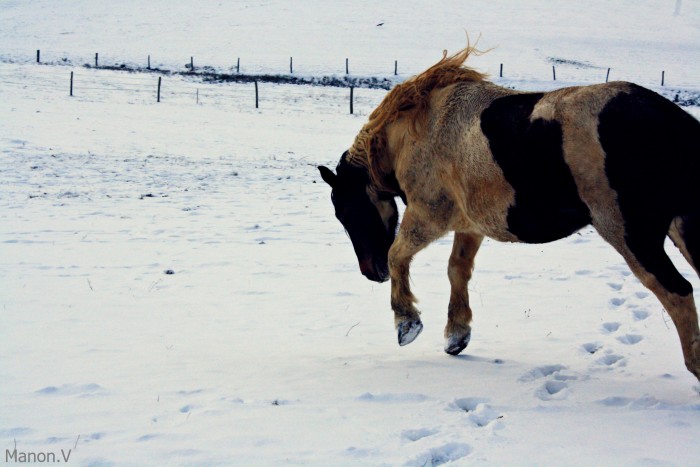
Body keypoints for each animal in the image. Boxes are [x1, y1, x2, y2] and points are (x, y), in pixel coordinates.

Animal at [318, 45, 700, 382]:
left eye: (346, 211)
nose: (371, 273)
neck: (422, 129)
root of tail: (674, 123)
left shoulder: (429, 214)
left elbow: (399, 254)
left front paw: (407, 323)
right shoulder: (469, 225)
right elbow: (457, 271)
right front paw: (456, 335)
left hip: (631, 237)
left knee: (678, 292)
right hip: (682, 229)